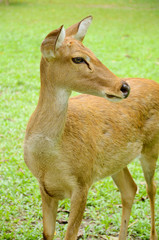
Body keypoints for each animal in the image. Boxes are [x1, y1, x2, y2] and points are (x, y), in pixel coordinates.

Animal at [23, 15, 159, 240]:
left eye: (92, 52)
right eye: (78, 58)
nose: (124, 87)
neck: (48, 159)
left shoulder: (82, 182)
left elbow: (70, 235)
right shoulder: (45, 188)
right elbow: (48, 233)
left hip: (151, 148)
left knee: (151, 189)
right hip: (116, 162)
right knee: (130, 189)